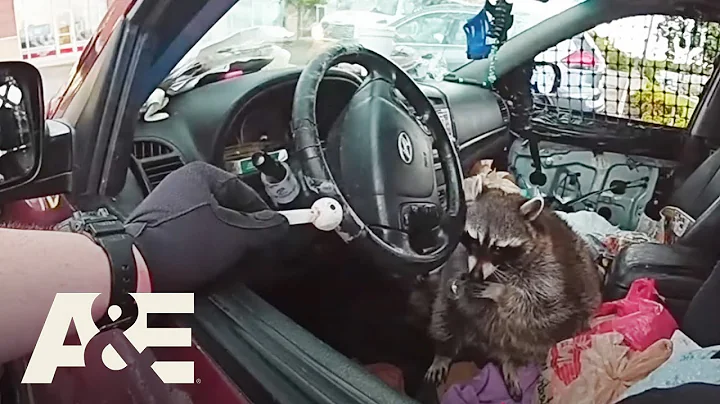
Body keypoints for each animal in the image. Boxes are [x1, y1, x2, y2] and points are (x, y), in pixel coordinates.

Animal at [423, 189, 602, 401]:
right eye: (474, 239)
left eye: (497, 248)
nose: (474, 276)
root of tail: (482, 344)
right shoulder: (458, 254)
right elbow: (451, 271)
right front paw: (460, 280)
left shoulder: (551, 269)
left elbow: (540, 302)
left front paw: (500, 292)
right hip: (451, 313)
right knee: (444, 316)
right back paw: (444, 352)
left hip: (565, 322)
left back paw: (509, 361)